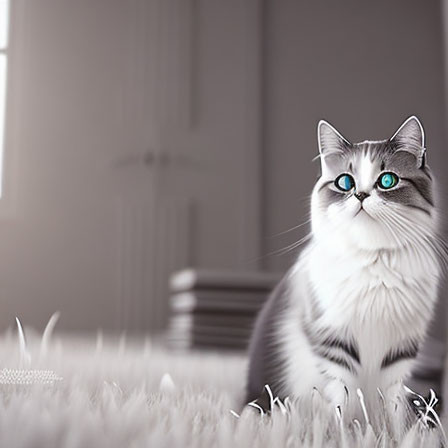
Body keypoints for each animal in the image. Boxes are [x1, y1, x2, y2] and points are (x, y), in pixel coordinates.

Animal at [248, 116, 444, 412]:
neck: (374, 259)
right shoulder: (333, 340)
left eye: (387, 180)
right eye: (344, 182)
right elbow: (342, 397)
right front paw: (341, 425)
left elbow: (394, 405)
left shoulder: (401, 349)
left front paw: (391, 426)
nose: (360, 195)